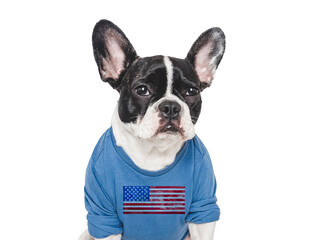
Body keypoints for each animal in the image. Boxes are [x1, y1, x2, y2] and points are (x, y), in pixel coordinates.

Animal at [79, 19, 225, 240]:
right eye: (142, 90)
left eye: (192, 91)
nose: (171, 107)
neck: (154, 151)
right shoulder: (103, 218)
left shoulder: (203, 211)